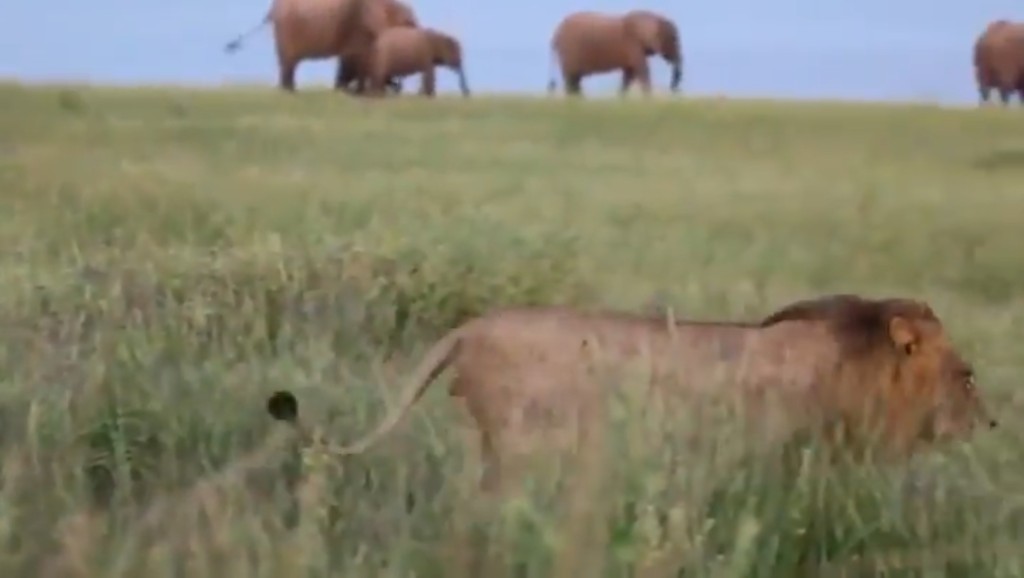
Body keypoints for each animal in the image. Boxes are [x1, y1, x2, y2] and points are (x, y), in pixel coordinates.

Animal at [548, 9, 684, 97]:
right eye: (674, 39)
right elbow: (640, 70)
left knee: (575, 80)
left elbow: (629, 73)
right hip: (569, 52)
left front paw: (621, 100)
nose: (674, 88)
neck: (652, 17)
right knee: (571, 79)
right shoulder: (632, 44)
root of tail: (555, 34)